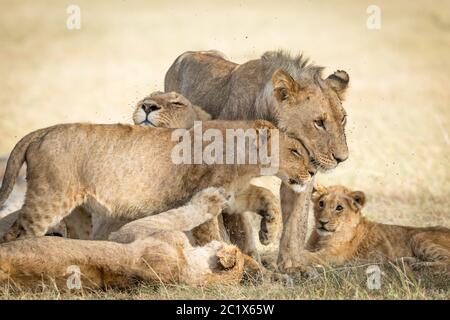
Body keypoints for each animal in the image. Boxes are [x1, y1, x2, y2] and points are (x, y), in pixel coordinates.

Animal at [0, 120, 312, 242]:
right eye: (295, 151)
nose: (311, 172)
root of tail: (42, 131)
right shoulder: (206, 193)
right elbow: (209, 234)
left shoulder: (232, 195)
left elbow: (265, 196)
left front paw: (269, 233)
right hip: (48, 199)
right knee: (17, 235)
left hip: (77, 211)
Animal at [165, 50, 352, 272]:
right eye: (319, 122)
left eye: (343, 119)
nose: (342, 158)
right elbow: (240, 225)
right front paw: (252, 262)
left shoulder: (301, 176)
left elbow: (296, 223)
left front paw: (293, 267)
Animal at [300, 184, 450, 272]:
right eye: (321, 204)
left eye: (339, 208)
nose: (322, 222)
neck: (320, 236)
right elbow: (306, 251)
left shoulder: (332, 256)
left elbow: (308, 256)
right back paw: (404, 261)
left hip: (418, 237)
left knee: (447, 259)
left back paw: (420, 265)